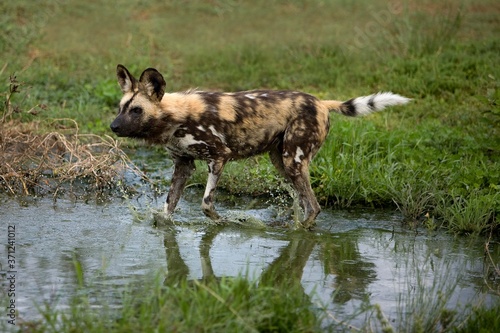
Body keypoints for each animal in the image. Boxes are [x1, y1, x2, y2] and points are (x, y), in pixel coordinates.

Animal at [110, 63, 410, 227]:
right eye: (120, 108)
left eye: (136, 110)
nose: (113, 126)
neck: (176, 117)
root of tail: (322, 102)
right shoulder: (183, 165)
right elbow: (168, 207)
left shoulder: (219, 158)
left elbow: (206, 205)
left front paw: (225, 224)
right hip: (282, 163)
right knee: (305, 203)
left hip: (293, 161)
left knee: (314, 206)